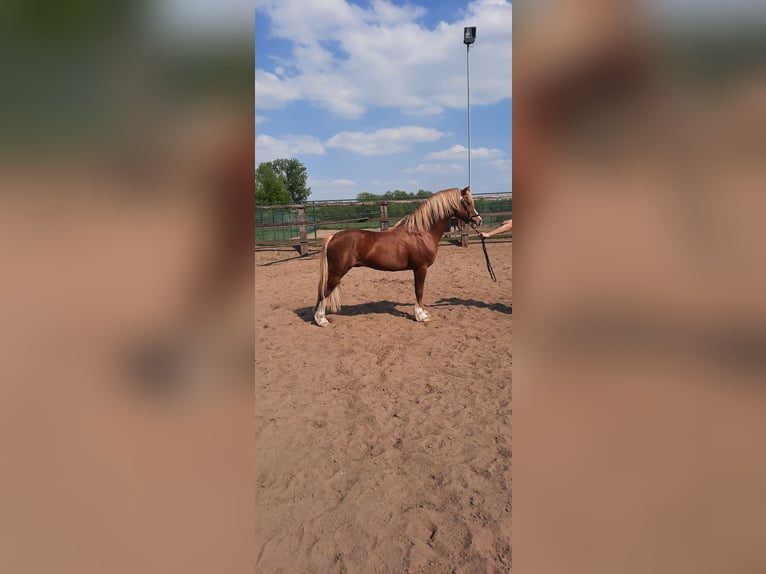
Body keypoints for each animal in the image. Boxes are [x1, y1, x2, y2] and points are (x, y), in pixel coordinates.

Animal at [314, 187, 484, 326]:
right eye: (468, 202)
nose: (479, 220)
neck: (421, 232)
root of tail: (333, 236)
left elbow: (419, 291)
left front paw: (423, 312)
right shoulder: (420, 268)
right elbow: (419, 291)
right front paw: (421, 316)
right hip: (336, 273)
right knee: (324, 291)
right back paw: (321, 320)